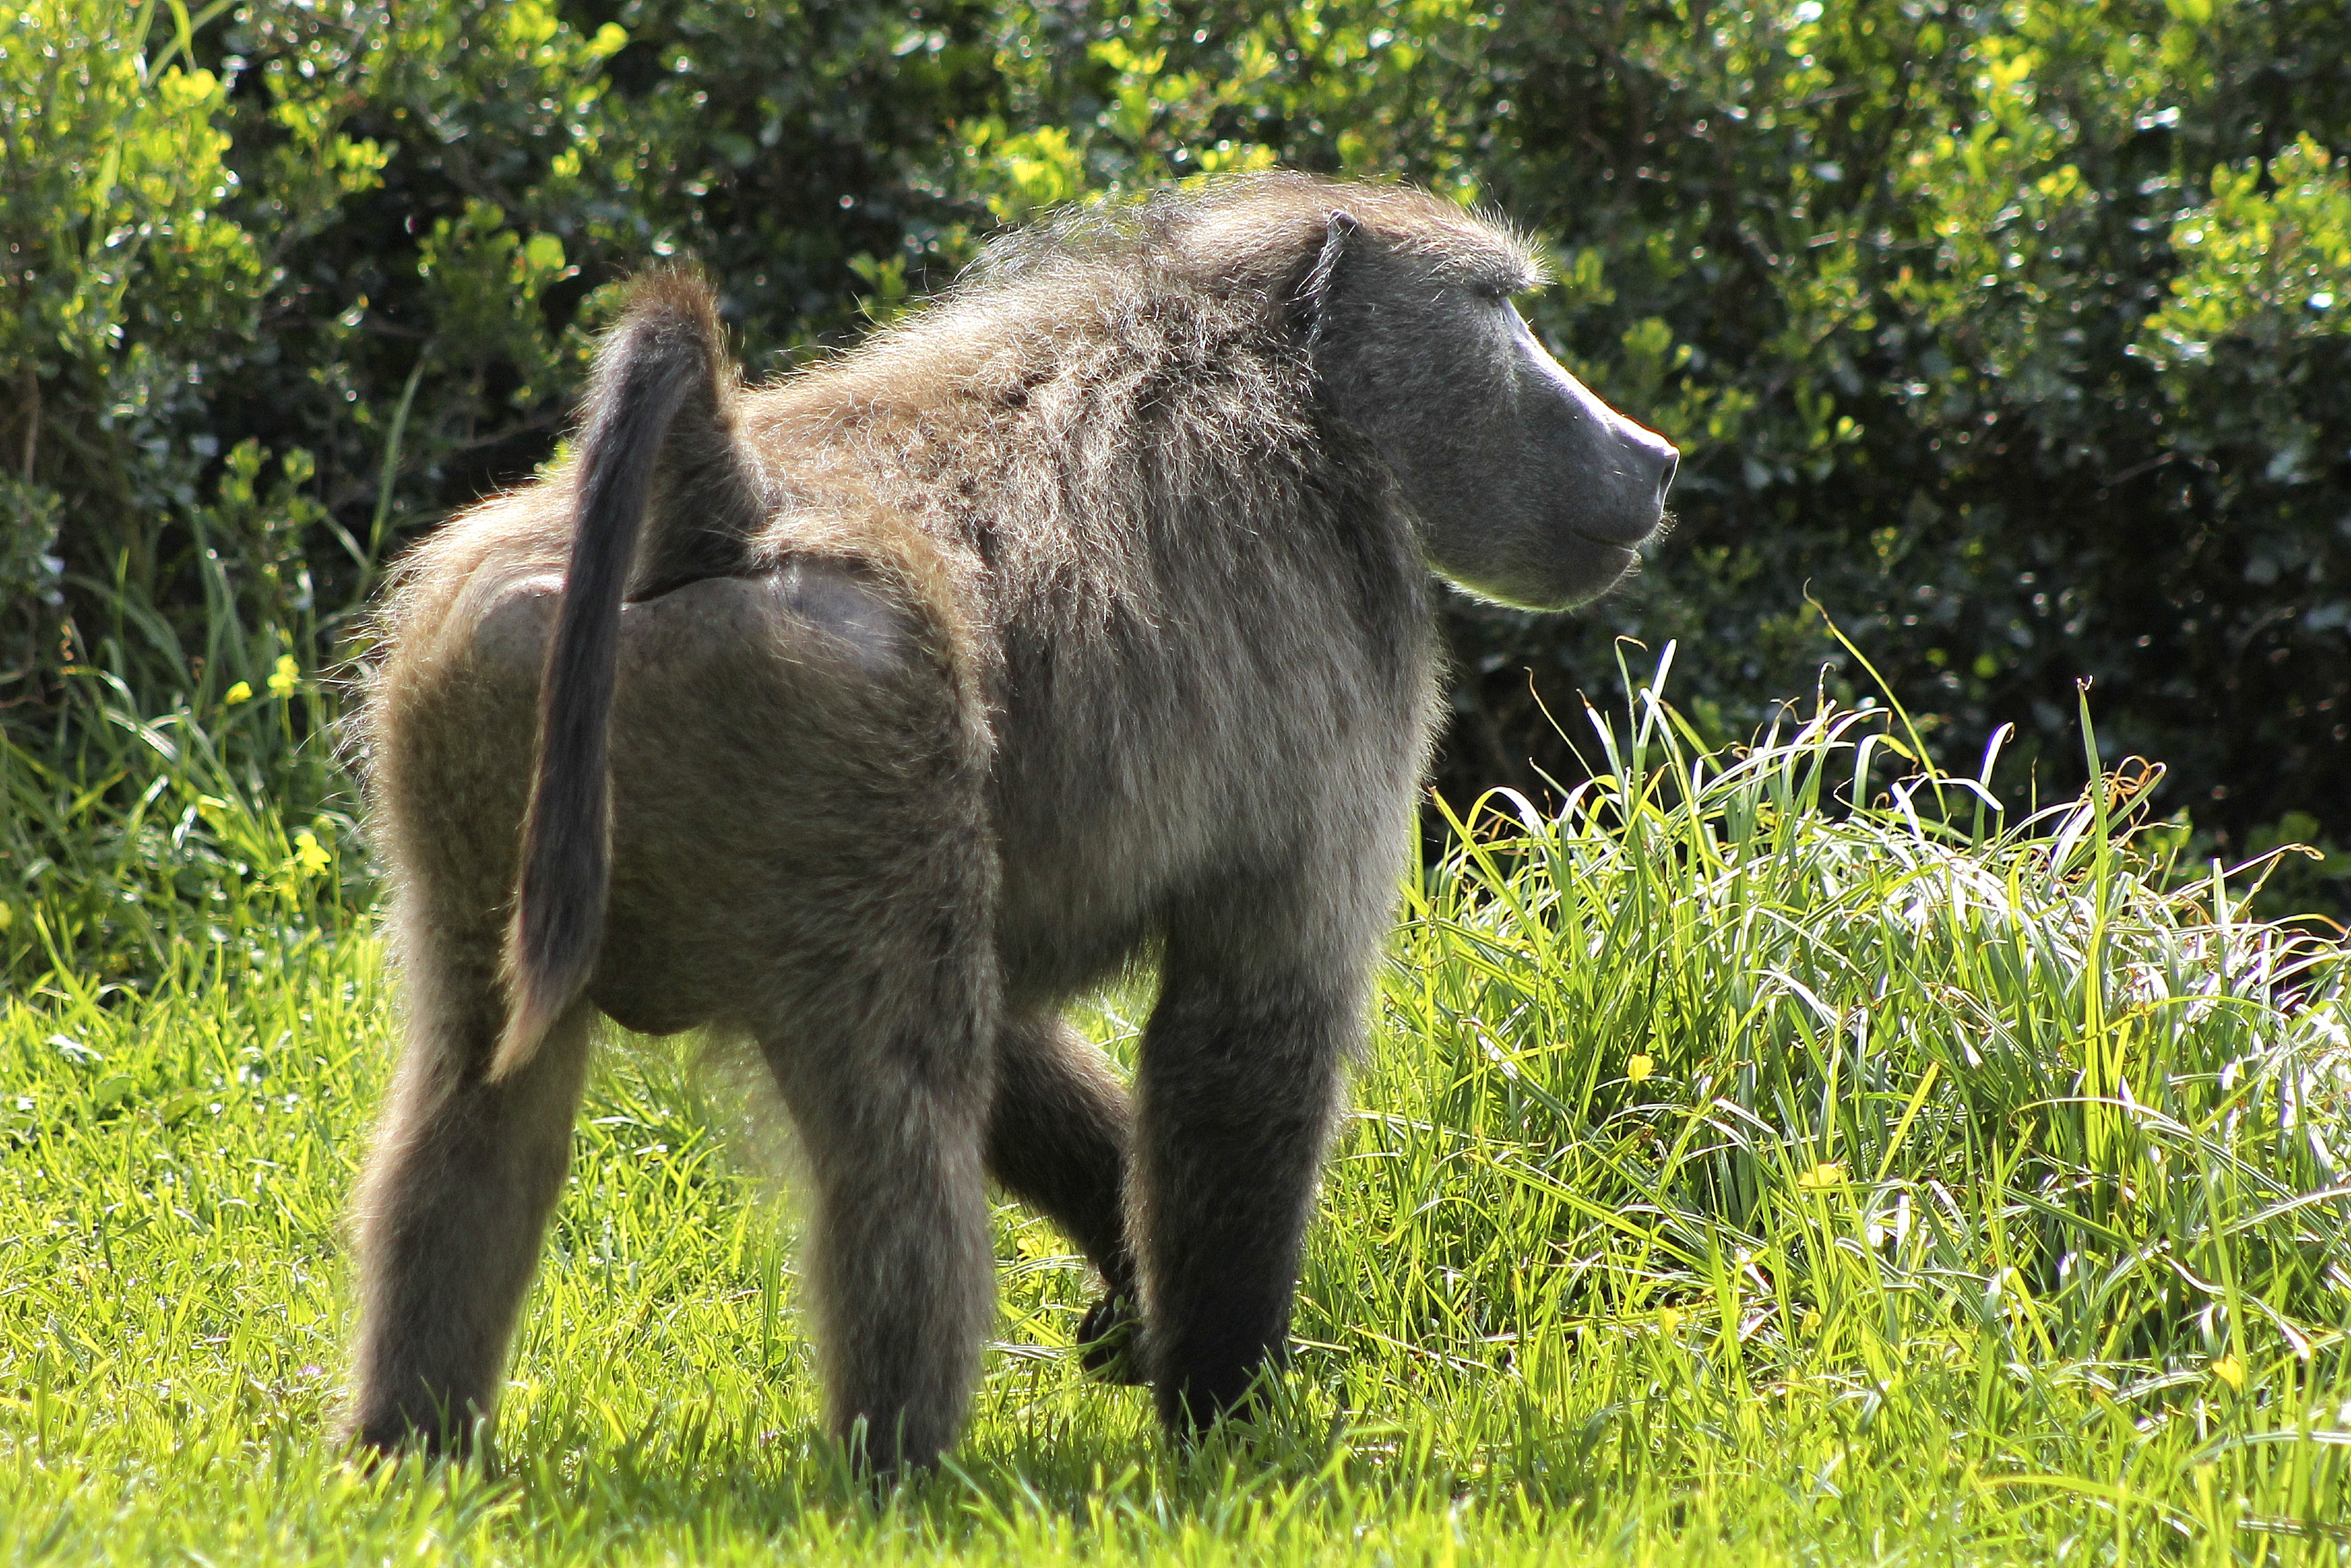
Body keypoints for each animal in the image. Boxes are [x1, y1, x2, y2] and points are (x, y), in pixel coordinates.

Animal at [347, 173, 1677, 1473]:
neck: (1283, 383)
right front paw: (1229, 1423)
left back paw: (411, 1457)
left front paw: (1136, 1305)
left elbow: (1020, 1031)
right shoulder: (1343, 628)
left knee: (478, 1099)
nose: (1653, 456)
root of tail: (715, 511)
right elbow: (1247, 1031)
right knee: (896, 1122)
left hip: (481, 695)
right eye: (1500, 308)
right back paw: (900, 1477)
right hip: (864, 720)